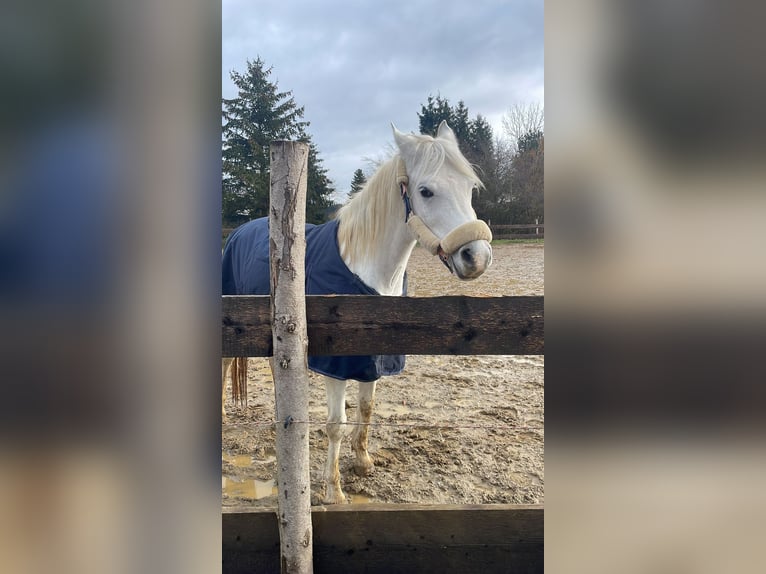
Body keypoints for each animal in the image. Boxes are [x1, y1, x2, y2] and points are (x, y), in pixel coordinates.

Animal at [225, 121, 496, 504]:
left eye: (471, 188)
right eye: (426, 191)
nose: (477, 257)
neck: (366, 272)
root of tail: (237, 232)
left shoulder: (374, 357)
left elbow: (367, 408)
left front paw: (363, 461)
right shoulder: (336, 366)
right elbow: (335, 425)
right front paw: (333, 489)